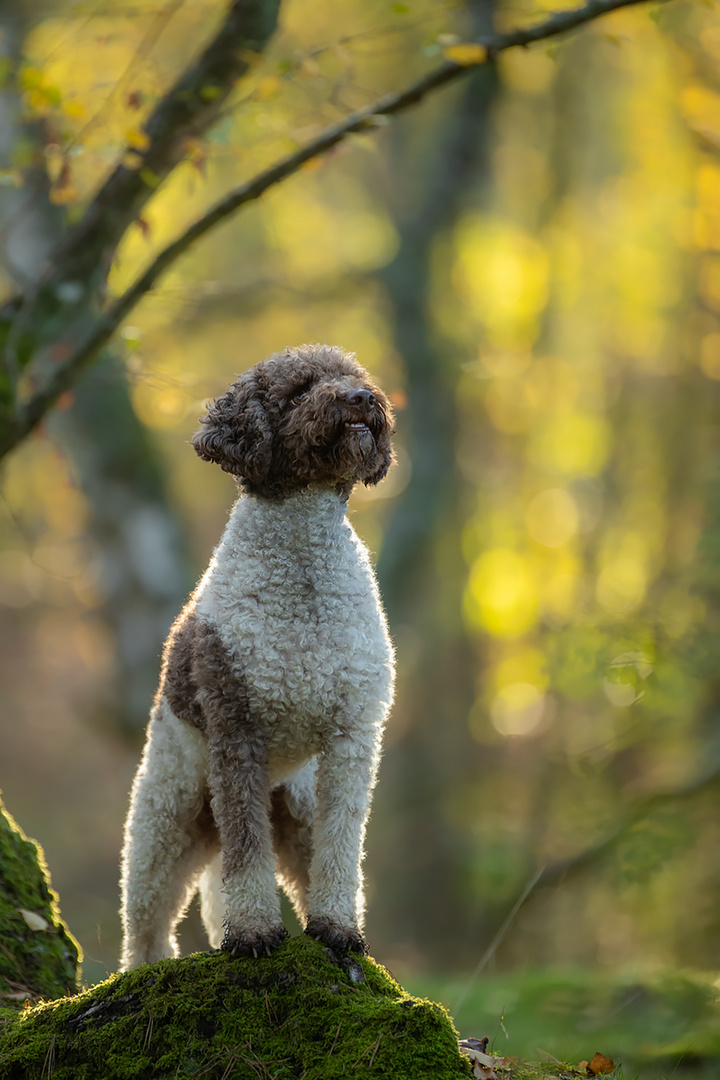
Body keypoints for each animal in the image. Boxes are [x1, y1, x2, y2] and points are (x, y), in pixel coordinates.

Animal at [120, 341, 397, 967]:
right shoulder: (237, 730)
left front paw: (337, 929)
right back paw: (147, 969)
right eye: (297, 392)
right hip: (165, 819)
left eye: (353, 376)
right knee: (147, 926)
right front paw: (251, 934)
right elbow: (247, 852)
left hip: (294, 813)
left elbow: (343, 846)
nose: (362, 398)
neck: (304, 579)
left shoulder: (352, 738)